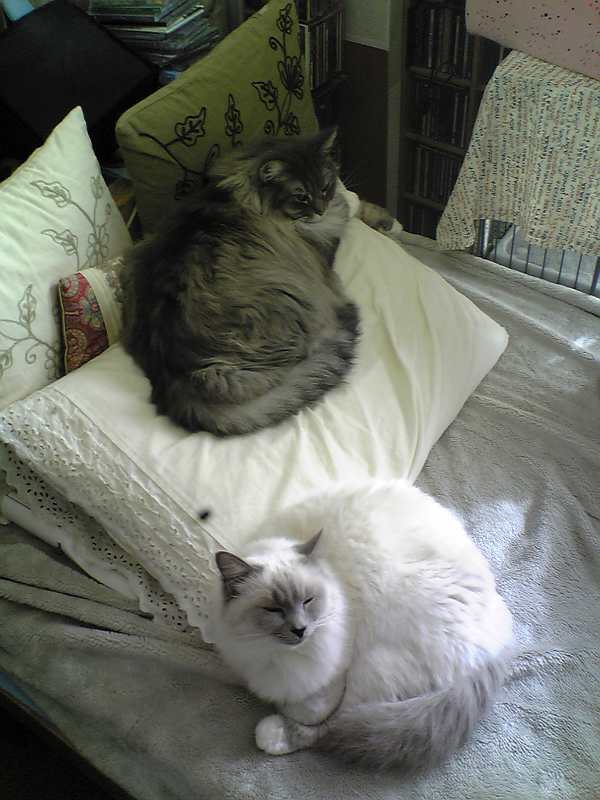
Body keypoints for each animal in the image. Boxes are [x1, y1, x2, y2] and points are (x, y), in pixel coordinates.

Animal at [121, 128, 393, 437]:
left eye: (324, 187)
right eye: (301, 196)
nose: (320, 209)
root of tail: (172, 378)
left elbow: (355, 203)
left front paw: (384, 219)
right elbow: (349, 209)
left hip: (135, 257)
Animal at [210, 480, 513, 770]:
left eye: (308, 600)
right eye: (273, 609)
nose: (299, 630)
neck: (273, 654)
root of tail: (498, 646)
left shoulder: (335, 669)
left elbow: (312, 710)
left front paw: (282, 708)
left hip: (370, 666)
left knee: (338, 727)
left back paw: (272, 734)